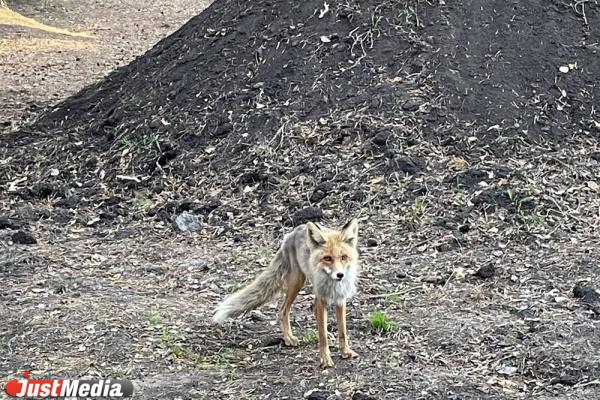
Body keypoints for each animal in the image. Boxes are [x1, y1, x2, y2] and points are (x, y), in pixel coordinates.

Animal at [212, 219, 360, 368]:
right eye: (327, 258)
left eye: (344, 257)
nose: (340, 275)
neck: (333, 285)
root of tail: (293, 232)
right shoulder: (322, 298)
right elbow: (322, 337)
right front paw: (325, 358)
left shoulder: (340, 299)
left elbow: (342, 331)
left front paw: (345, 351)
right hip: (297, 281)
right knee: (283, 310)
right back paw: (288, 338)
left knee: (313, 309)